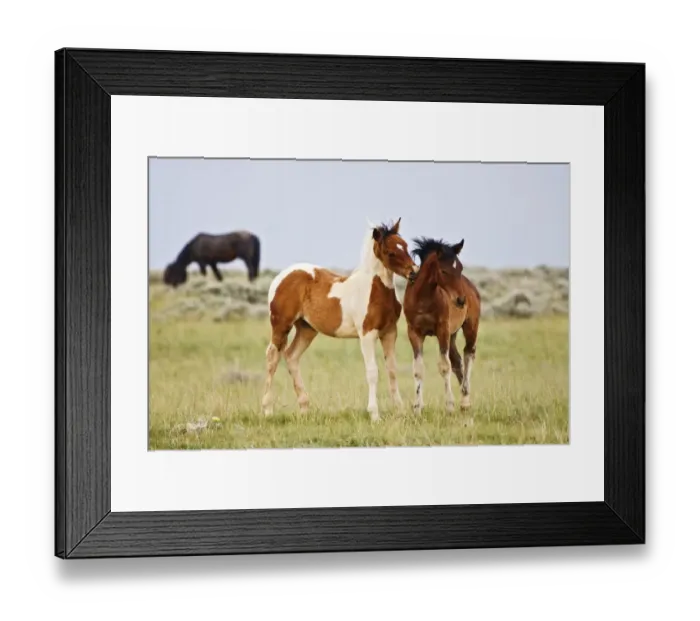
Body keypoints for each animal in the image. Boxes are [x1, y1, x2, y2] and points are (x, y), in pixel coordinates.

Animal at [261, 218, 419, 422]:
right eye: (390, 252)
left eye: (406, 246)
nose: (414, 272)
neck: (375, 290)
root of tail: (279, 277)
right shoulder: (367, 335)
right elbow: (372, 372)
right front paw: (374, 414)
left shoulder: (390, 332)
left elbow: (392, 369)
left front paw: (399, 411)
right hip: (281, 325)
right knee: (273, 357)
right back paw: (267, 410)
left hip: (306, 329)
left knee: (291, 356)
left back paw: (304, 408)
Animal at [403, 237, 481, 415]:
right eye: (444, 271)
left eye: (460, 268)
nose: (461, 300)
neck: (423, 299)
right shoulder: (414, 332)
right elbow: (418, 369)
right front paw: (417, 408)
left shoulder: (442, 330)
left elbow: (445, 367)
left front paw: (450, 406)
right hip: (452, 335)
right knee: (457, 360)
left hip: (470, 326)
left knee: (468, 354)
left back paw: (465, 401)